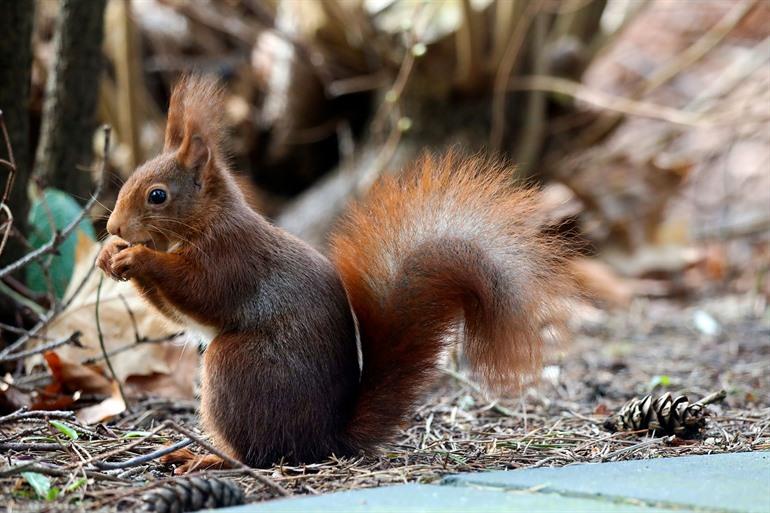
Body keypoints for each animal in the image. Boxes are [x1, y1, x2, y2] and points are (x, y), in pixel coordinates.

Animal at [97, 75, 572, 471]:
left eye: (157, 196)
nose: (113, 227)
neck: (209, 221)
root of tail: (325, 439)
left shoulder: (233, 260)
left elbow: (200, 293)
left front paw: (138, 257)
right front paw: (109, 254)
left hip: (237, 367)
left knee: (256, 455)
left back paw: (209, 459)